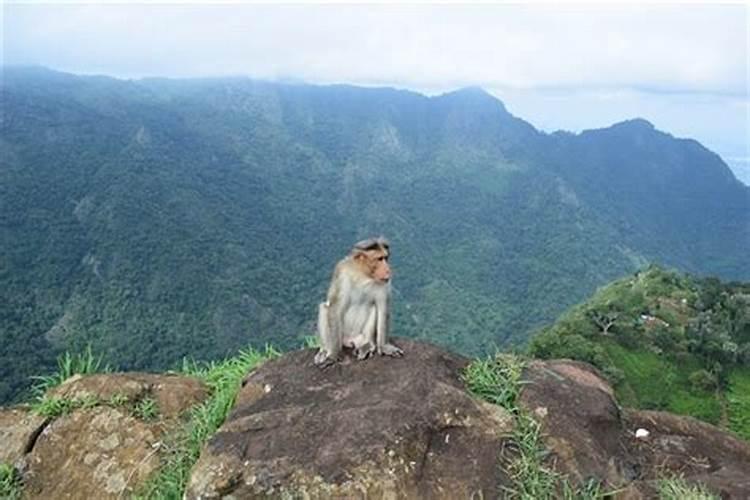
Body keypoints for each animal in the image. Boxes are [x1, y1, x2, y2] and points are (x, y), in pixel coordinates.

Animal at [314, 234, 406, 368]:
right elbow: (335, 308)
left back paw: (367, 344)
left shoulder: (384, 282)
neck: (363, 275)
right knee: (325, 307)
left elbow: (383, 307)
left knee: (374, 308)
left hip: (360, 337)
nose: (388, 269)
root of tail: (350, 340)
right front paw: (333, 356)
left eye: (386, 258)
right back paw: (325, 350)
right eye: (380, 259)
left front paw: (384, 347)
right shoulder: (342, 272)